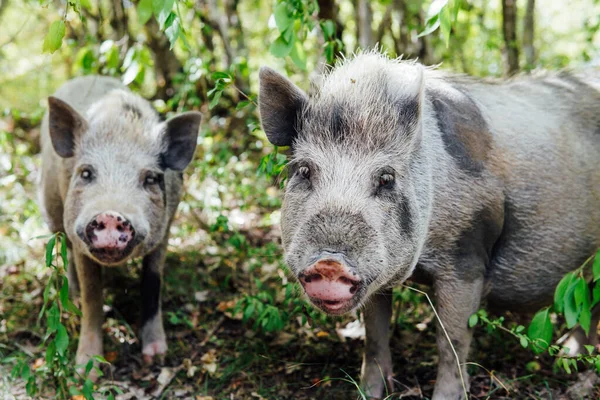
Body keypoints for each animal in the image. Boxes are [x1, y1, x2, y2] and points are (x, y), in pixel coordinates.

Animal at [38, 76, 202, 378]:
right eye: (86, 173)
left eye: (150, 178)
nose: (112, 214)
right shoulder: (79, 238)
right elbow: (92, 296)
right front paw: (85, 371)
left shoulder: (165, 231)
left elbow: (152, 282)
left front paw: (156, 357)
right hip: (51, 207)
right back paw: (73, 296)